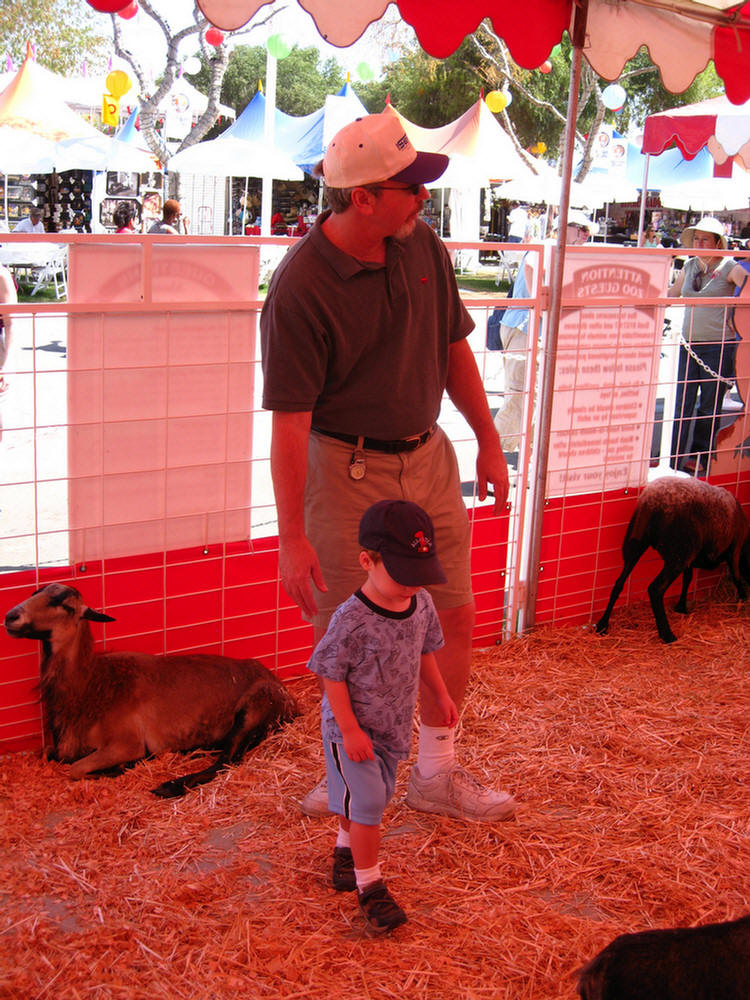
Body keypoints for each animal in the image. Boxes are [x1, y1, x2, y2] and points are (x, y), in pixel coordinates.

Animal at [5, 584, 302, 800]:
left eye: (65, 605)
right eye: (34, 593)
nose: (11, 617)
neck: (91, 684)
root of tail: (289, 699)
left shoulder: (125, 741)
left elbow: (75, 769)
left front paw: (121, 768)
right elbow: (51, 754)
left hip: (255, 708)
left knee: (227, 761)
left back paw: (169, 786)